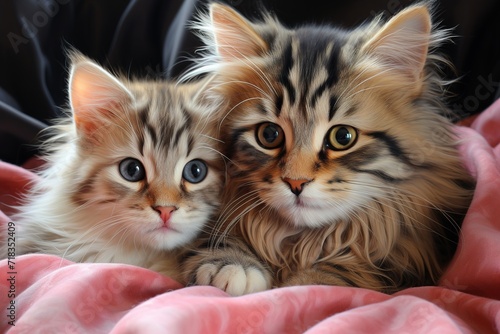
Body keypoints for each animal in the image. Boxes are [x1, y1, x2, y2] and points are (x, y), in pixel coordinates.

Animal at [182, 2, 474, 294]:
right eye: (269, 135)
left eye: (343, 137)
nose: (296, 183)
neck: (301, 241)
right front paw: (231, 262)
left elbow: (351, 265)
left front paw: (310, 282)